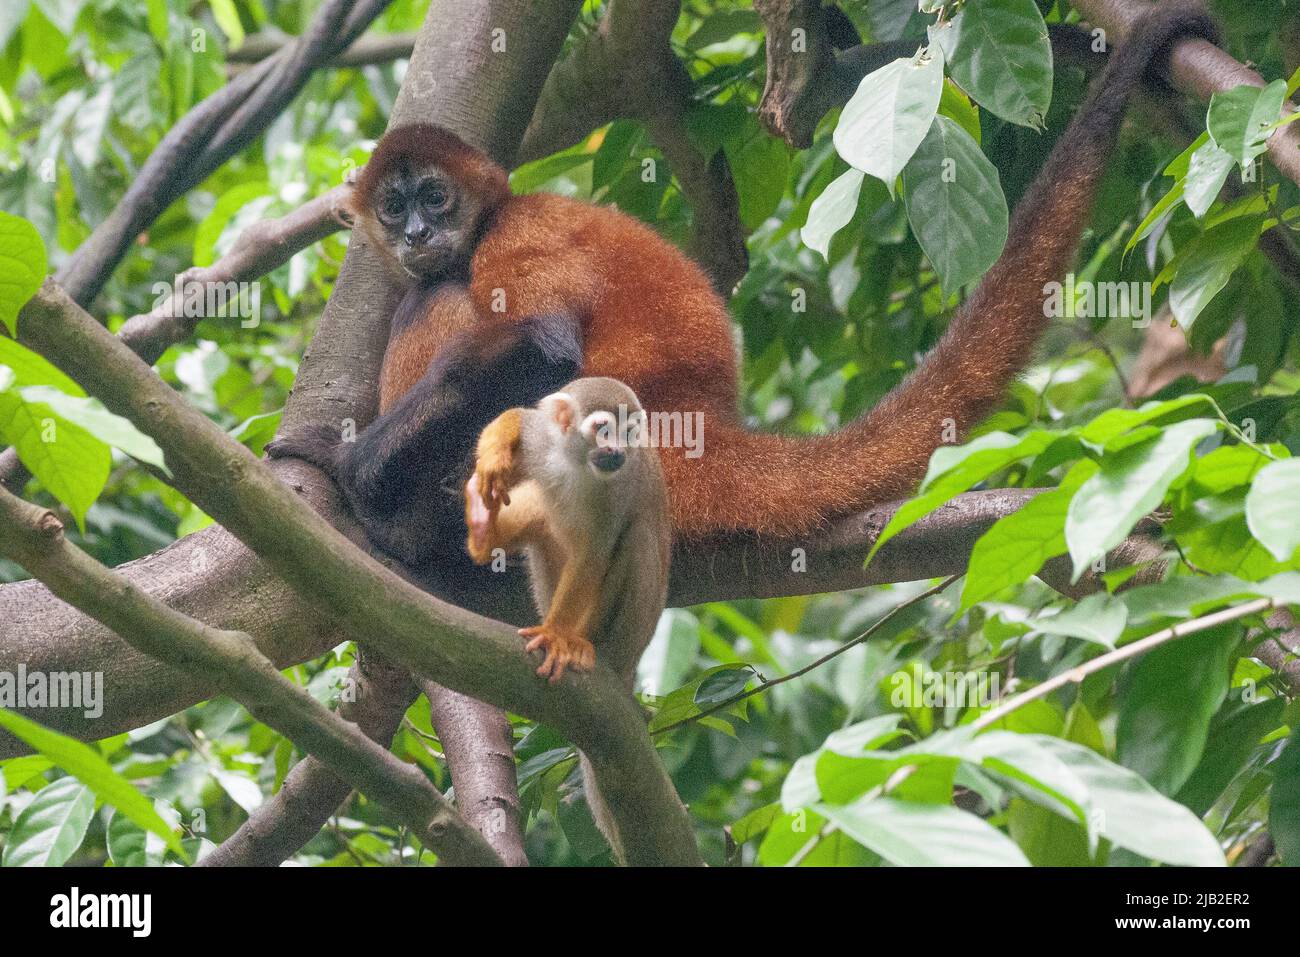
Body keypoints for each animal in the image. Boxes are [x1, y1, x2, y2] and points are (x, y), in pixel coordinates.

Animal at [269, 3, 1222, 572]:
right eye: (393, 208)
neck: (492, 212)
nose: (419, 235)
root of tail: (701, 422)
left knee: (438, 301)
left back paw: (408, 528)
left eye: (434, 198)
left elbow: (543, 342)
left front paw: (342, 464)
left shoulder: (516, 234)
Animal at [465, 377, 670, 686]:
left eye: (629, 434)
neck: (577, 463)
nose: (618, 451)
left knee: (639, 537)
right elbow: (524, 419)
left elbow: (594, 555)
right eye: (604, 430)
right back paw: (483, 534)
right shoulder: (544, 443)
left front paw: (555, 634)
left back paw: (583, 644)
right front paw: (498, 445)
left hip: (621, 640)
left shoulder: (621, 484)